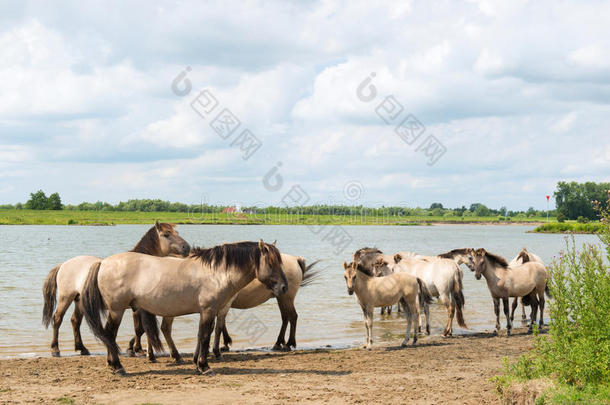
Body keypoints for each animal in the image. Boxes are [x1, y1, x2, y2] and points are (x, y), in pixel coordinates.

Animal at [41, 221, 189, 356]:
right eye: (166, 234)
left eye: (177, 232)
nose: (186, 247)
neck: (140, 266)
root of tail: (63, 265)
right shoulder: (137, 308)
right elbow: (138, 329)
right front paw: (135, 349)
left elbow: (140, 329)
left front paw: (133, 347)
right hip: (65, 298)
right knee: (57, 319)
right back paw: (55, 349)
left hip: (79, 301)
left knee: (75, 321)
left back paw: (82, 348)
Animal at [81, 238, 288, 374]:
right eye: (271, 263)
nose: (284, 287)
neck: (216, 272)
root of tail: (103, 262)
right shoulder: (208, 311)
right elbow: (204, 336)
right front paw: (204, 366)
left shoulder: (208, 312)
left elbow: (203, 335)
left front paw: (198, 362)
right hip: (116, 310)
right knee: (109, 334)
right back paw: (117, 366)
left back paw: (112, 364)